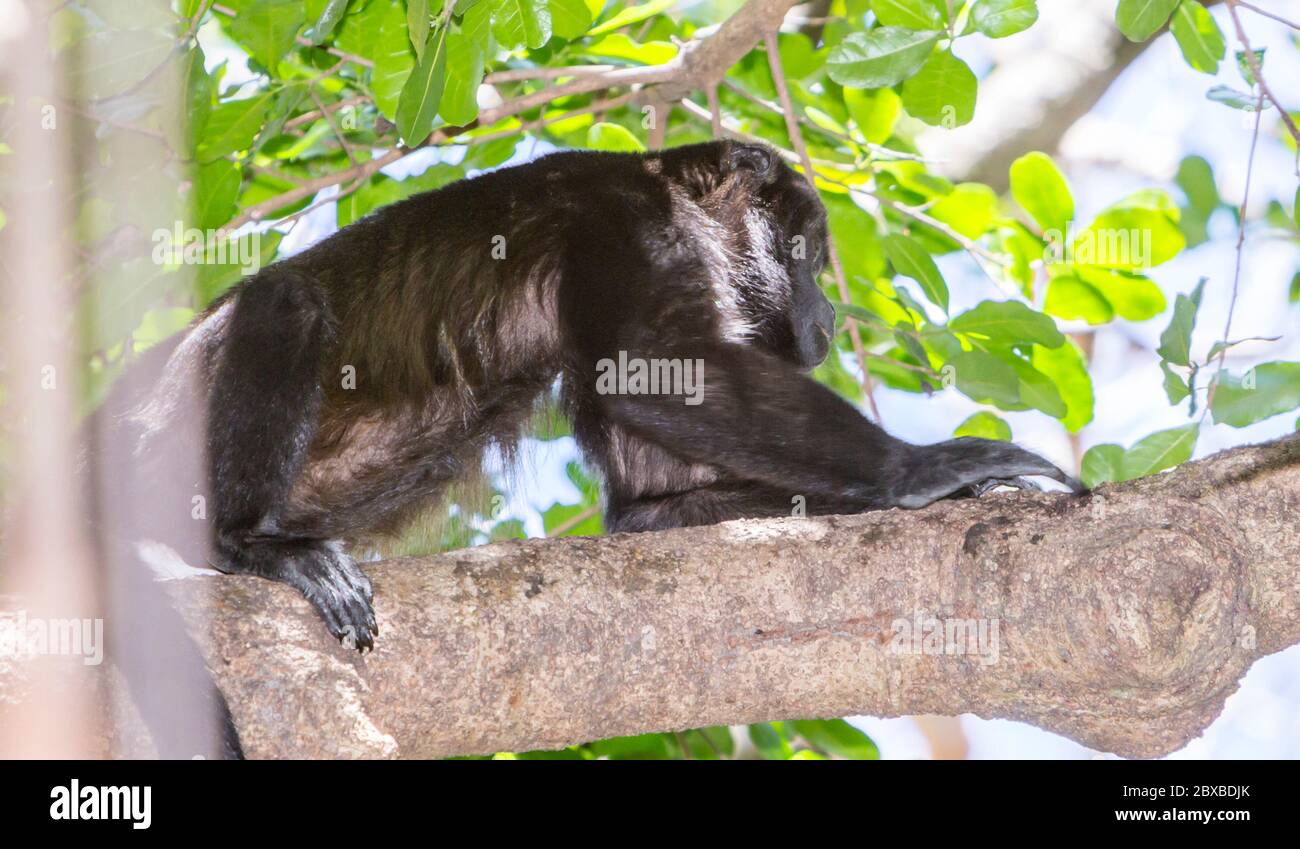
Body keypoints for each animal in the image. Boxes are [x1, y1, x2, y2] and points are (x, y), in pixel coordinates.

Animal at [114, 139, 1083, 685]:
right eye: (806, 251)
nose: (829, 316)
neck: (680, 199)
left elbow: (649, 505)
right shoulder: (630, 224)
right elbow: (646, 371)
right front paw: (925, 471)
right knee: (286, 303)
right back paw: (254, 543)